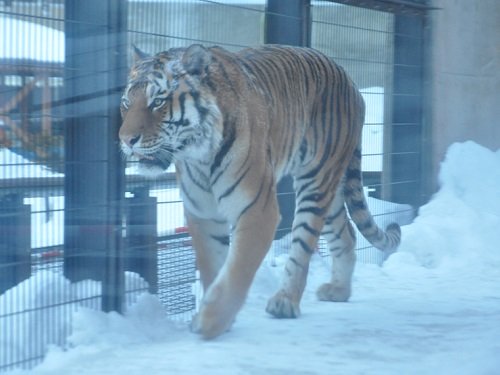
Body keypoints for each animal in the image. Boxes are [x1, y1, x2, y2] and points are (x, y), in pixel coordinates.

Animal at [119, 44, 400, 340]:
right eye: (126, 103)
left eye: (158, 102)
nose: (126, 140)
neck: (198, 155)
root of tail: (347, 76)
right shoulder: (203, 214)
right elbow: (213, 267)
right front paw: (217, 315)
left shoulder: (257, 211)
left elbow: (237, 269)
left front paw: (211, 321)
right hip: (331, 194)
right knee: (346, 234)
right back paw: (339, 290)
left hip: (316, 181)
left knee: (303, 246)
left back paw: (285, 301)